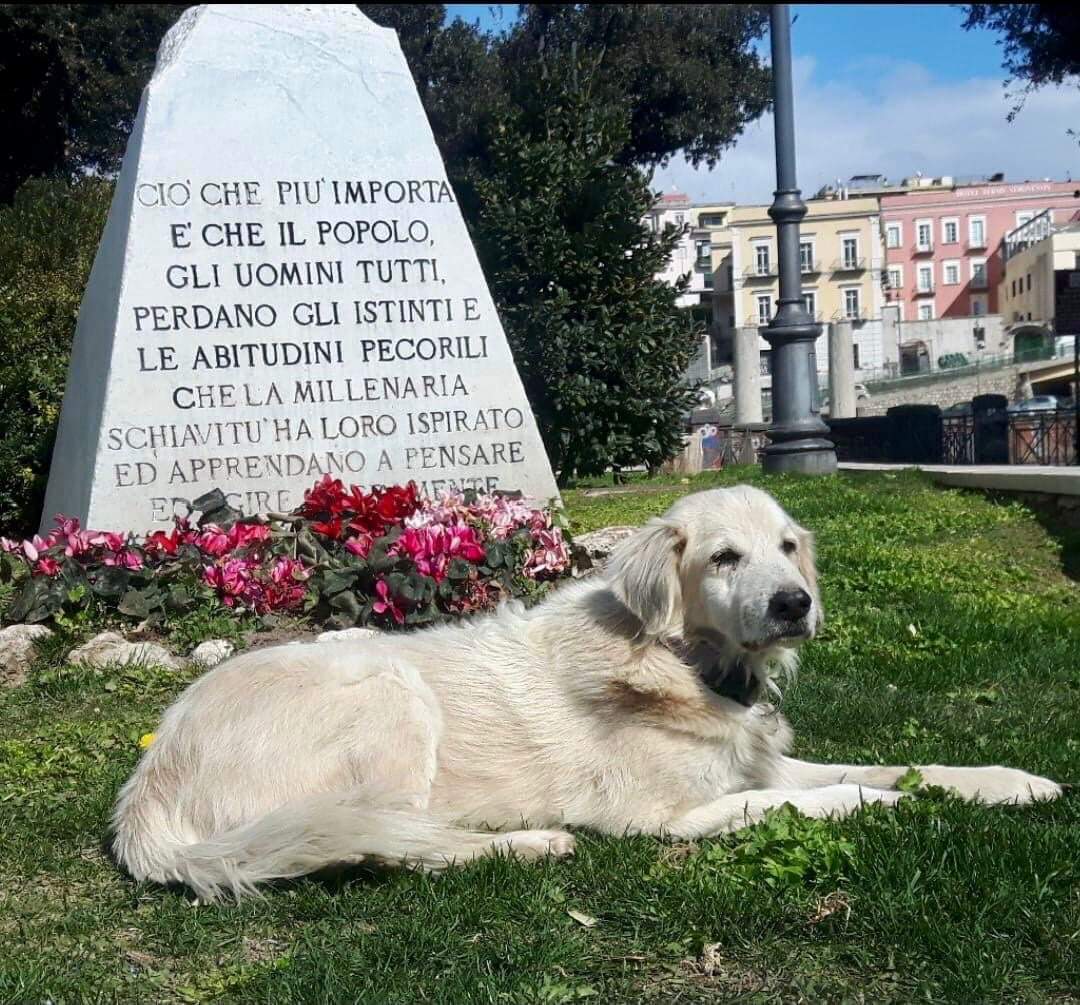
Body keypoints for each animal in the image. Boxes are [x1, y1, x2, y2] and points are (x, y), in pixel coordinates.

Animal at [111, 483, 1062, 898]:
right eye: (725, 557)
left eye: (789, 547)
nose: (796, 603)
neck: (683, 664)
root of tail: (146, 794)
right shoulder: (669, 817)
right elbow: (828, 797)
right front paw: (894, 806)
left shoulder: (755, 764)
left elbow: (897, 765)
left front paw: (1009, 783)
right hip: (384, 685)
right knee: (390, 844)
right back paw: (531, 842)